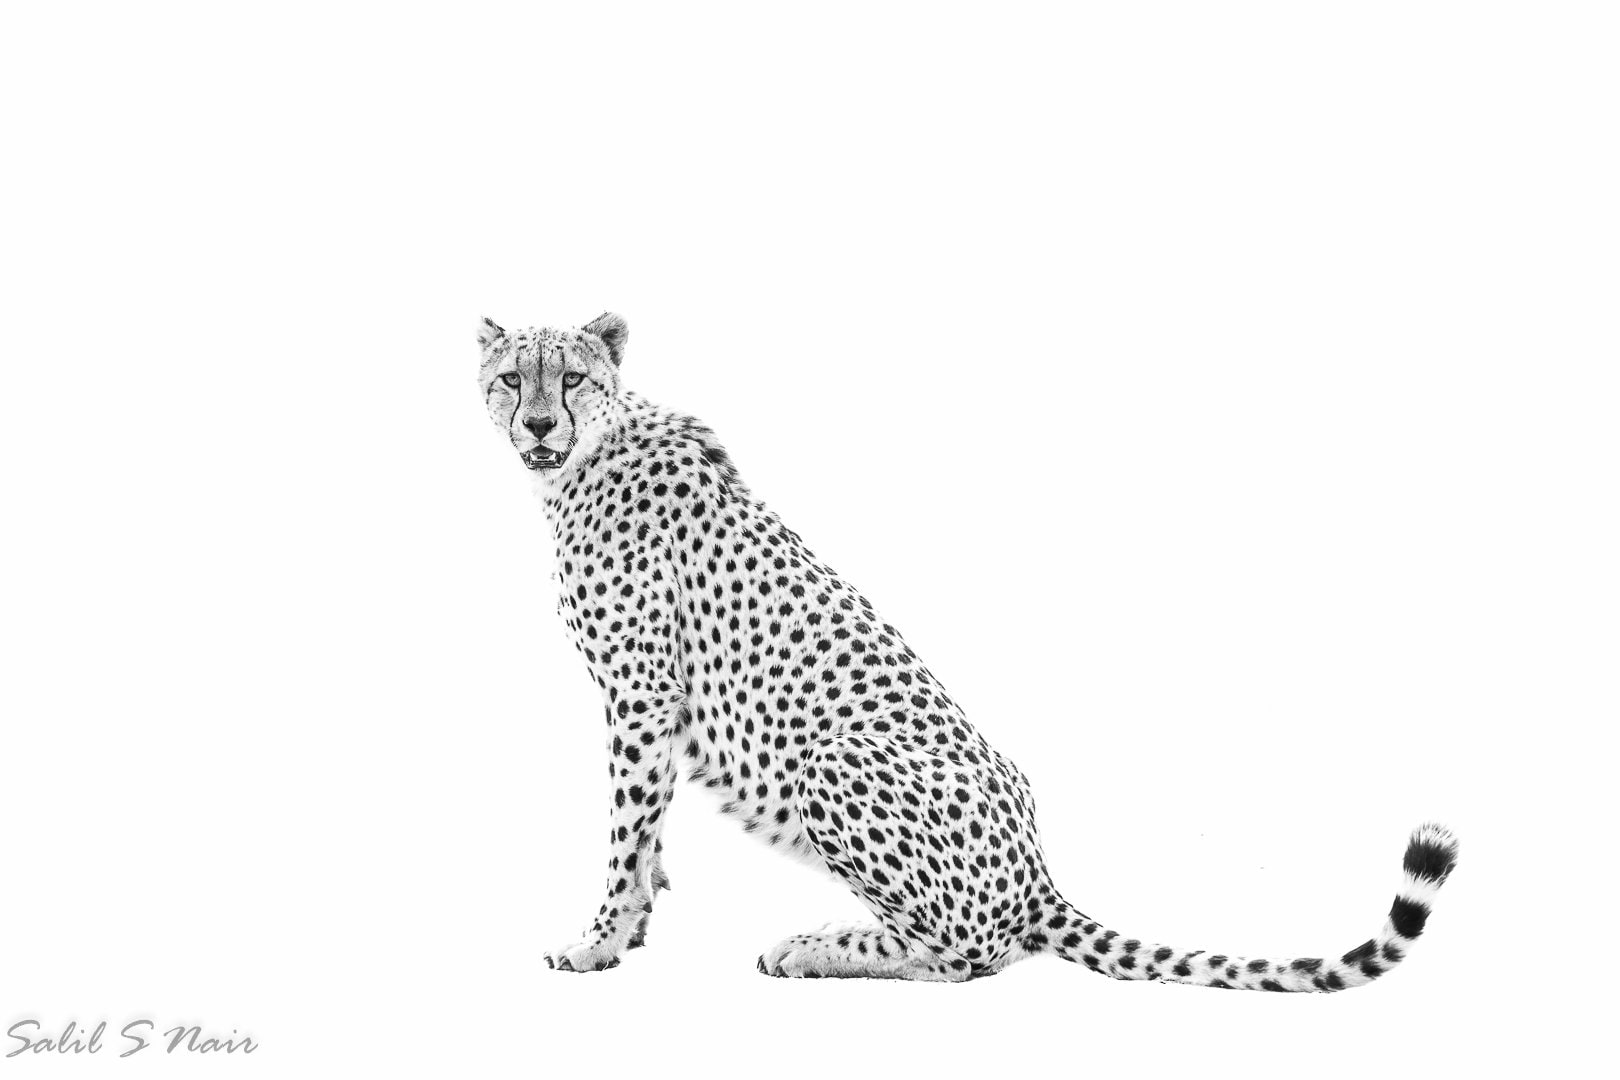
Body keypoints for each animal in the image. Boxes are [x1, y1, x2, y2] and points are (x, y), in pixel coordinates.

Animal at [476, 311, 1460, 988]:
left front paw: (596, 942)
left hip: (836, 763)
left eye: (570, 378)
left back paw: (818, 946)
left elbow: (625, 830)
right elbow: (647, 836)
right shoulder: (647, 705)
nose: (538, 426)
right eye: (511, 379)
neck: (587, 458)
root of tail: (1037, 871)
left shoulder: (641, 696)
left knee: (972, 951)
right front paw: (632, 928)